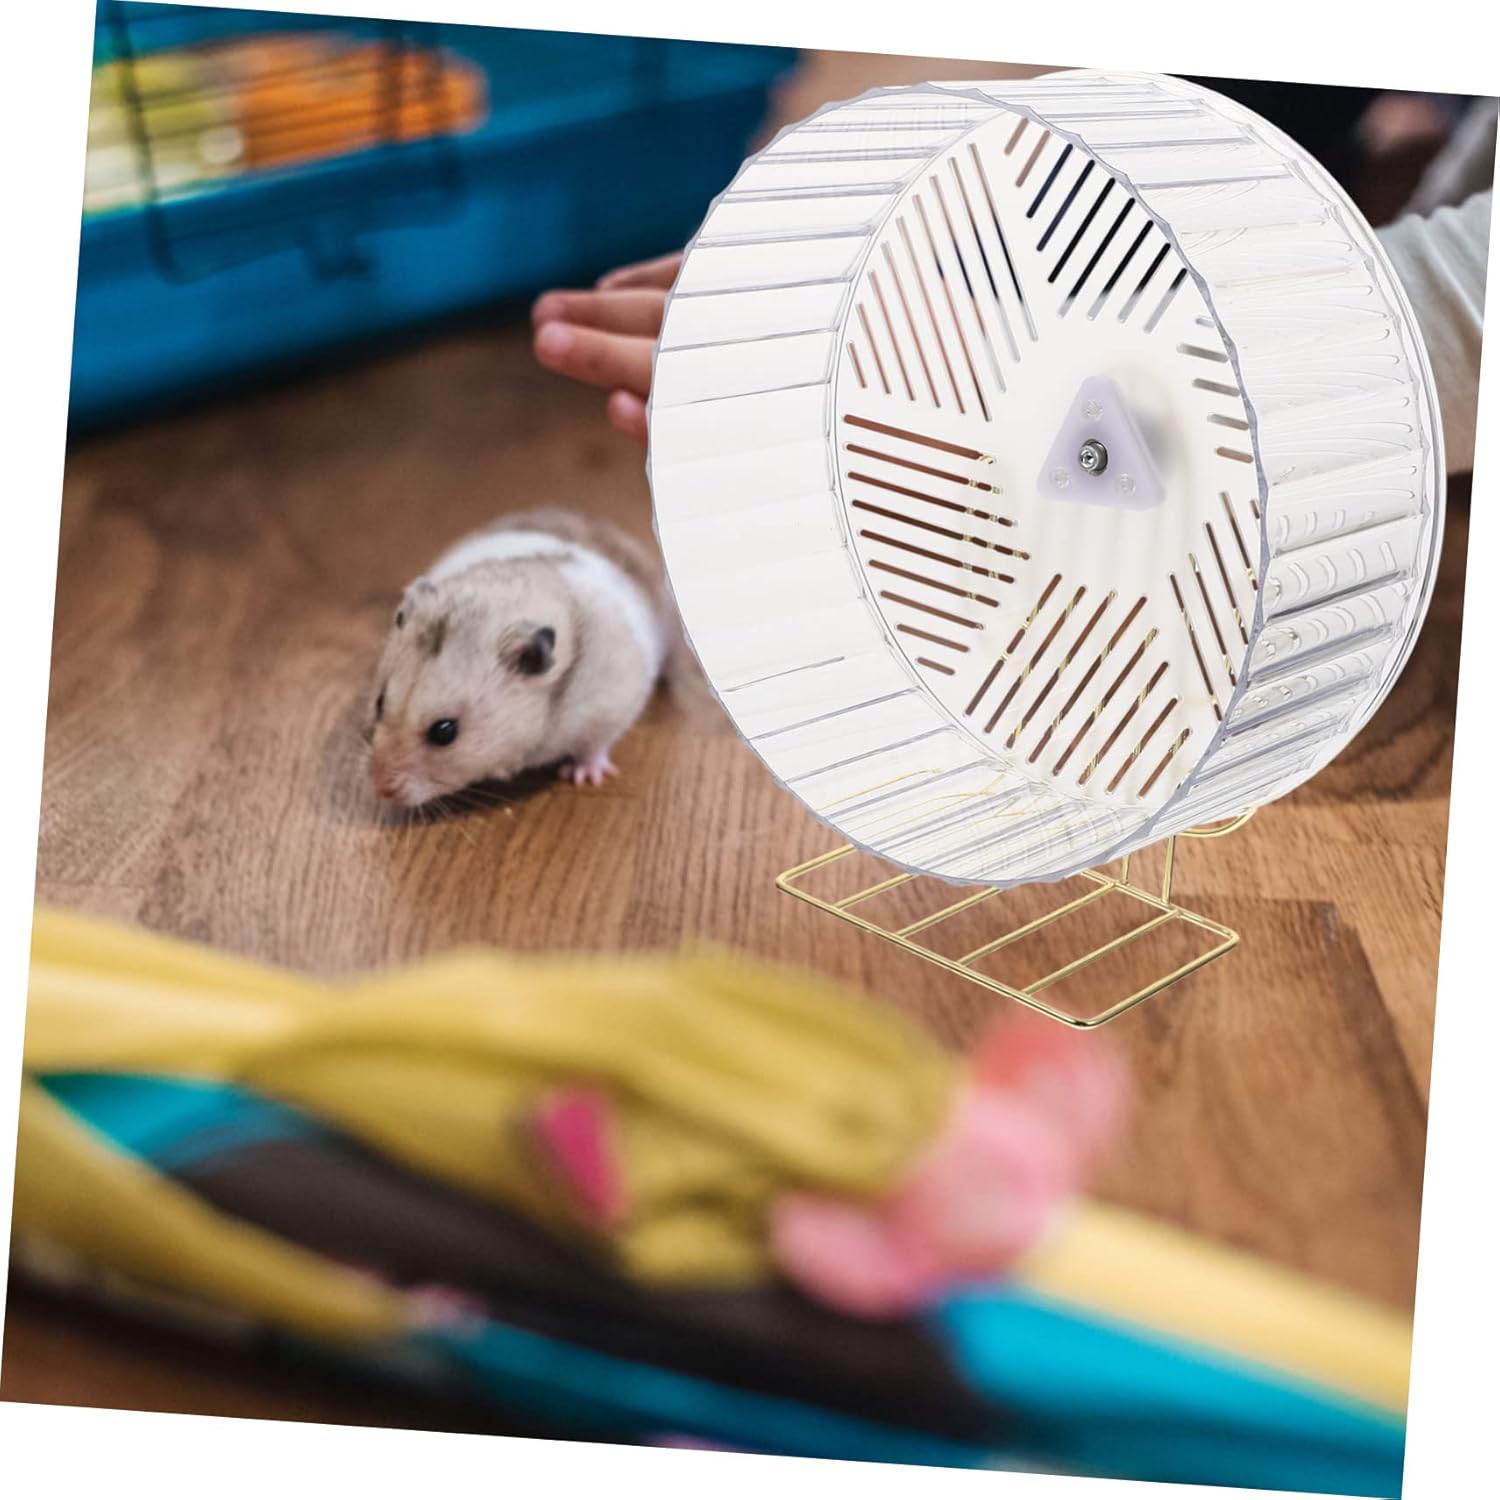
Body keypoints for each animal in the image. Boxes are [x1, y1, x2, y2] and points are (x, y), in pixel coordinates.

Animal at [365, 507, 672, 807]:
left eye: (444, 732)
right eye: (379, 703)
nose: (380, 788)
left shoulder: (612, 707)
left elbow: (595, 745)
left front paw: (582, 777)